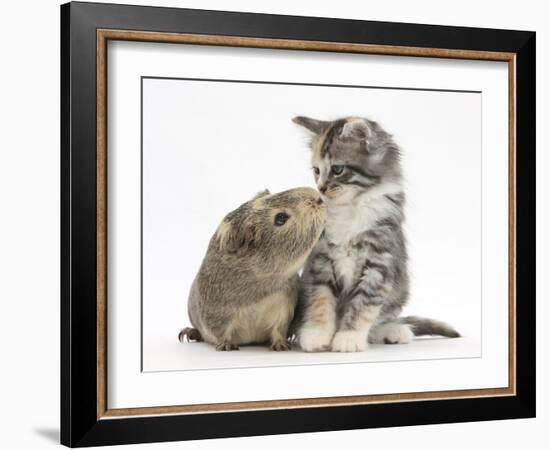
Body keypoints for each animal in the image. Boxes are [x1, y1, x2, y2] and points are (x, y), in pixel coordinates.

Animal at [294, 116, 462, 352]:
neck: (351, 207)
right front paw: (316, 334)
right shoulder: (321, 260)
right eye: (316, 170)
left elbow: (363, 305)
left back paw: (395, 331)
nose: (321, 188)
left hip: (399, 293)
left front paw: (348, 338)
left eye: (337, 169)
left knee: (380, 321)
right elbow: (320, 299)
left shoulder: (379, 262)